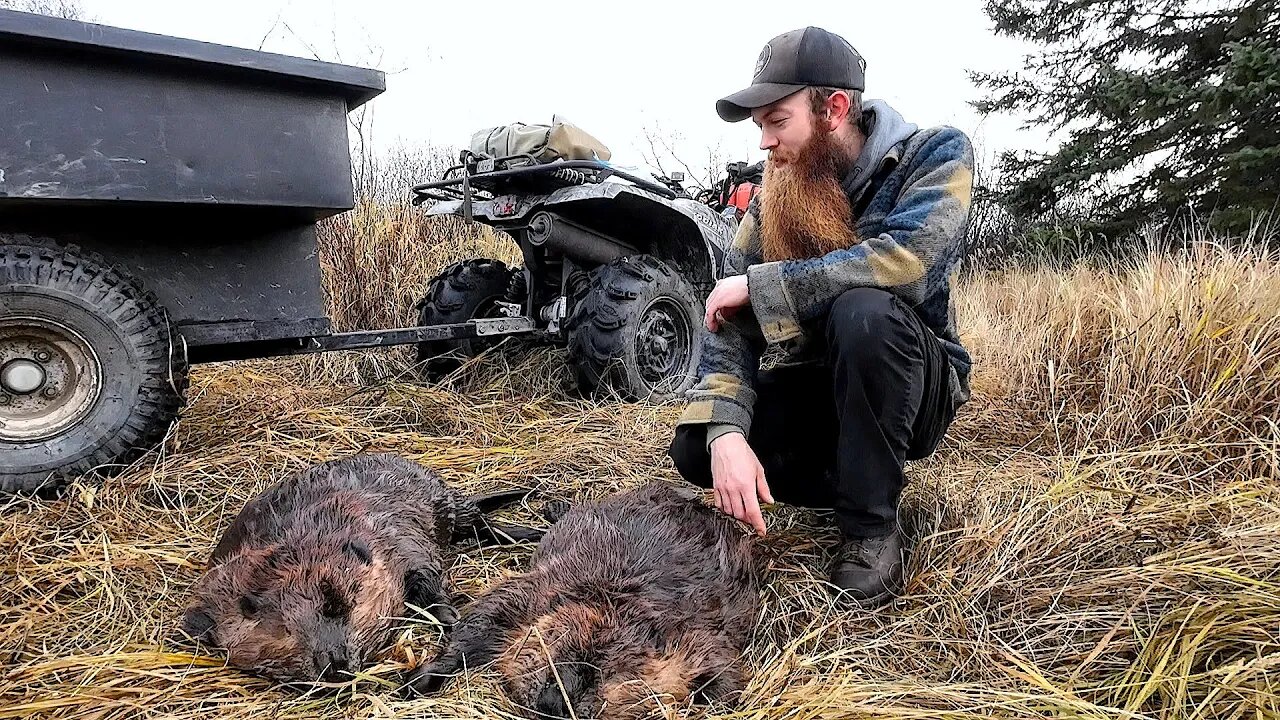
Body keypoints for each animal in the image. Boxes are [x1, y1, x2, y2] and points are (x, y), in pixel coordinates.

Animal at [177, 450, 542, 681]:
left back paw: (528, 511)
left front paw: (449, 616)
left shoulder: (394, 533)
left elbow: (426, 573)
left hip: (442, 502)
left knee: (475, 519)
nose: (333, 661)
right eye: (283, 628)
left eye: (336, 602)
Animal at [399, 476, 757, 717]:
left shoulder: (705, 637)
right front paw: (414, 681)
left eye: (618, 674)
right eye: (567, 642)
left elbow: (726, 683)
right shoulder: (548, 585)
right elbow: (483, 617)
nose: (556, 700)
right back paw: (554, 506)